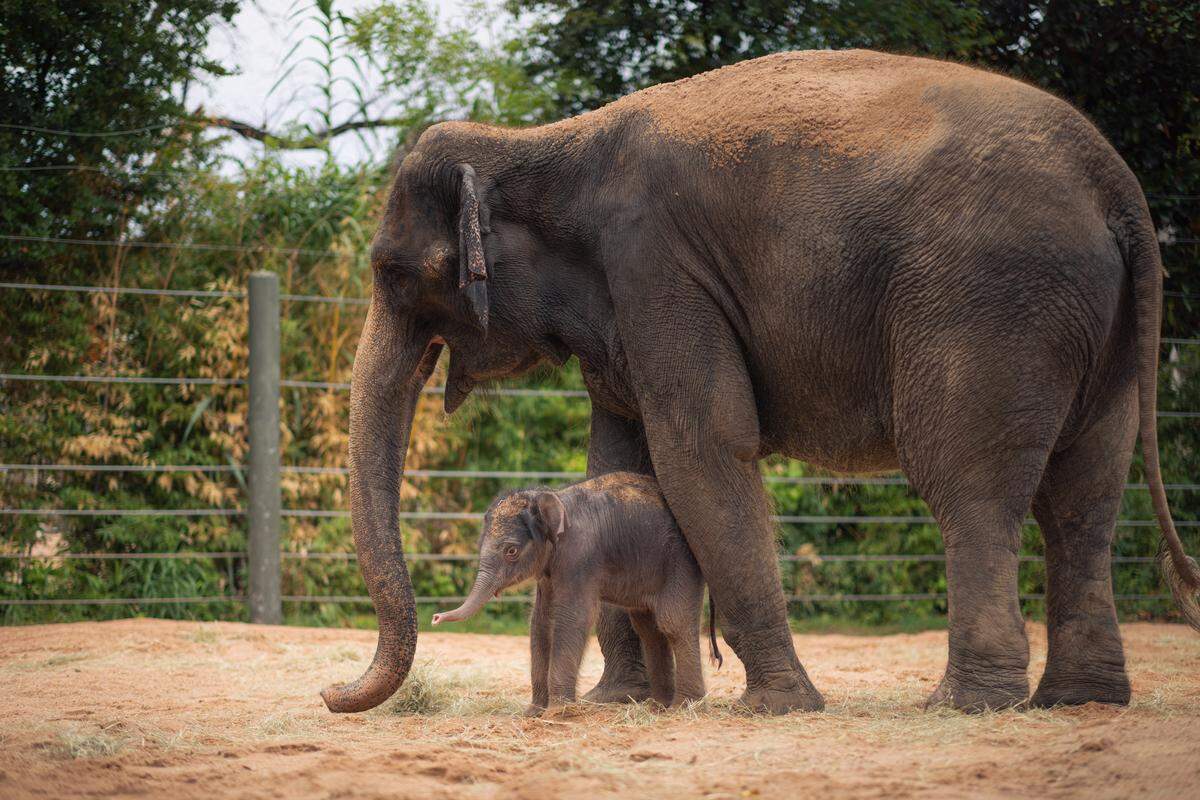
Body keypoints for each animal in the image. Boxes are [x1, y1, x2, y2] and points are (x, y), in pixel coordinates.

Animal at [429, 473, 723, 714]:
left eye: (511, 551)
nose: (435, 618)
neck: (553, 498)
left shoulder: (579, 556)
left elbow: (573, 618)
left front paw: (558, 712)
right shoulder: (548, 570)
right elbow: (541, 622)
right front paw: (533, 712)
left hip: (681, 561)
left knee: (673, 622)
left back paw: (683, 707)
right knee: (648, 628)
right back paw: (657, 706)